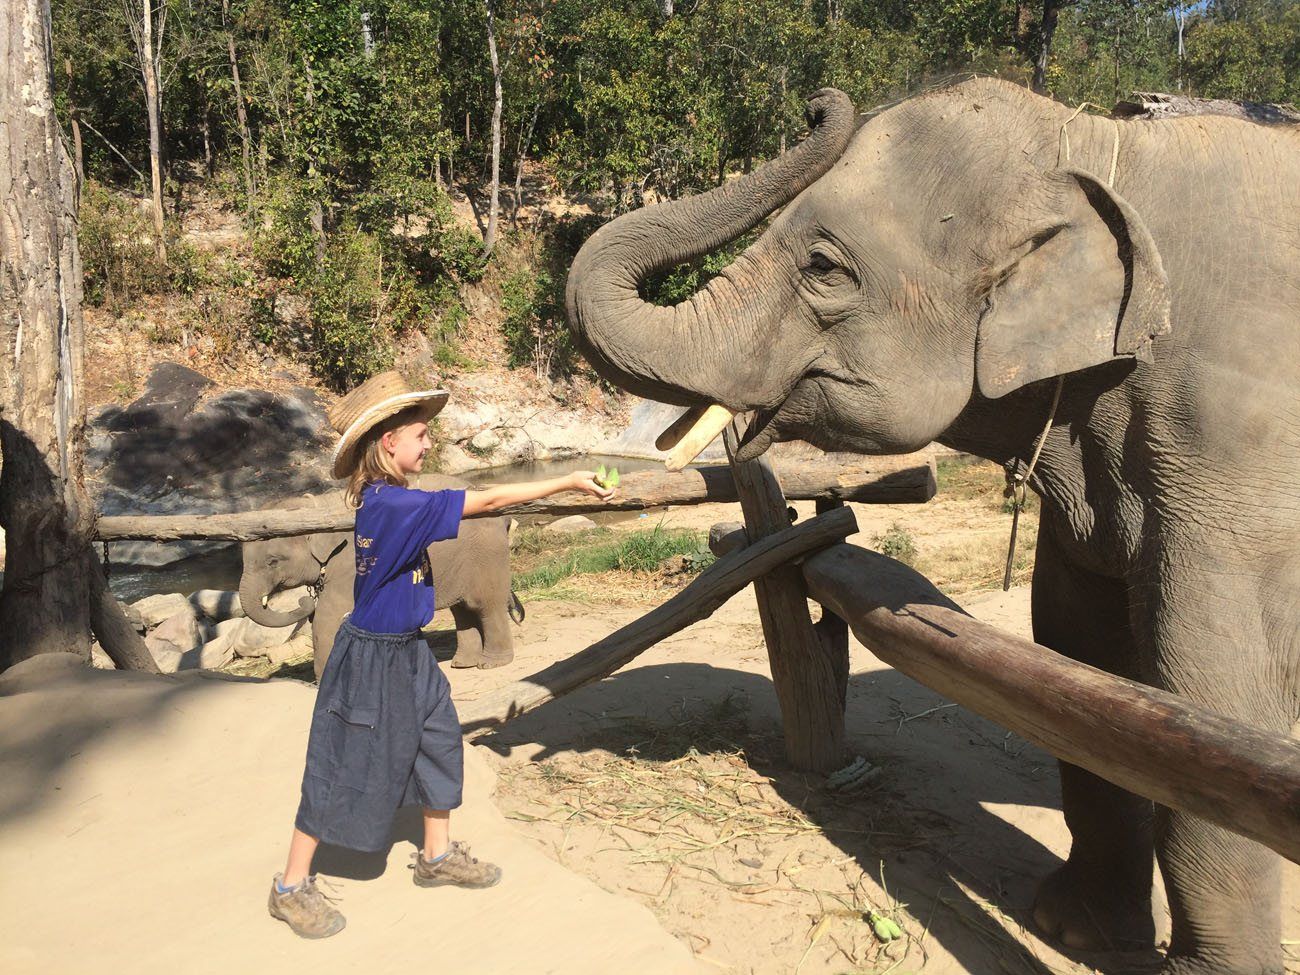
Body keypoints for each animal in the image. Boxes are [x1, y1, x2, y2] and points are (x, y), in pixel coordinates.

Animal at [236, 475, 520, 681]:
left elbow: (327, 619)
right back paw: (463, 664)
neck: (318, 505)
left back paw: (490, 663)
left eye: (272, 561)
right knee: (462, 610)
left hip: (486, 554)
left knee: (485, 606)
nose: (304, 601)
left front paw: (322, 683)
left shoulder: (352, 563)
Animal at [566, 82, 1300, 975]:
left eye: (823, 267)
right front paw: (1071, 930)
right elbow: (1080, 646)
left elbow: (1210, 682)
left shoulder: (1237, 445)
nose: (821, 103)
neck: (1099, 147)